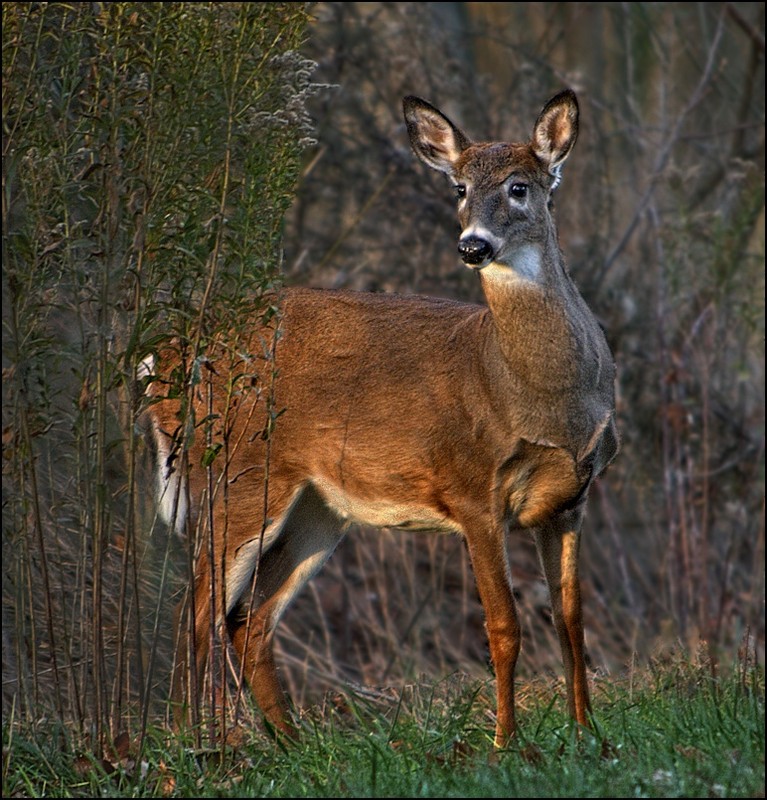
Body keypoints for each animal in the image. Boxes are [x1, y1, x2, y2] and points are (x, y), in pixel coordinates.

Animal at [144, 87, 620, 744]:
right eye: (459, 188)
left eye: (520, 186)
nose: (472, 245)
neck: (531, 391)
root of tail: (162, 359)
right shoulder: (473, 490)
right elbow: (504, 627)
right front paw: (509, 745)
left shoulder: (573, 497)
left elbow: (570, 622)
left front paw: (588, 736)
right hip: (233, 472)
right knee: (193, 609)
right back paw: (194, 745)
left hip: (317, 508)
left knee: (249, 618)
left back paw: (290, 746)